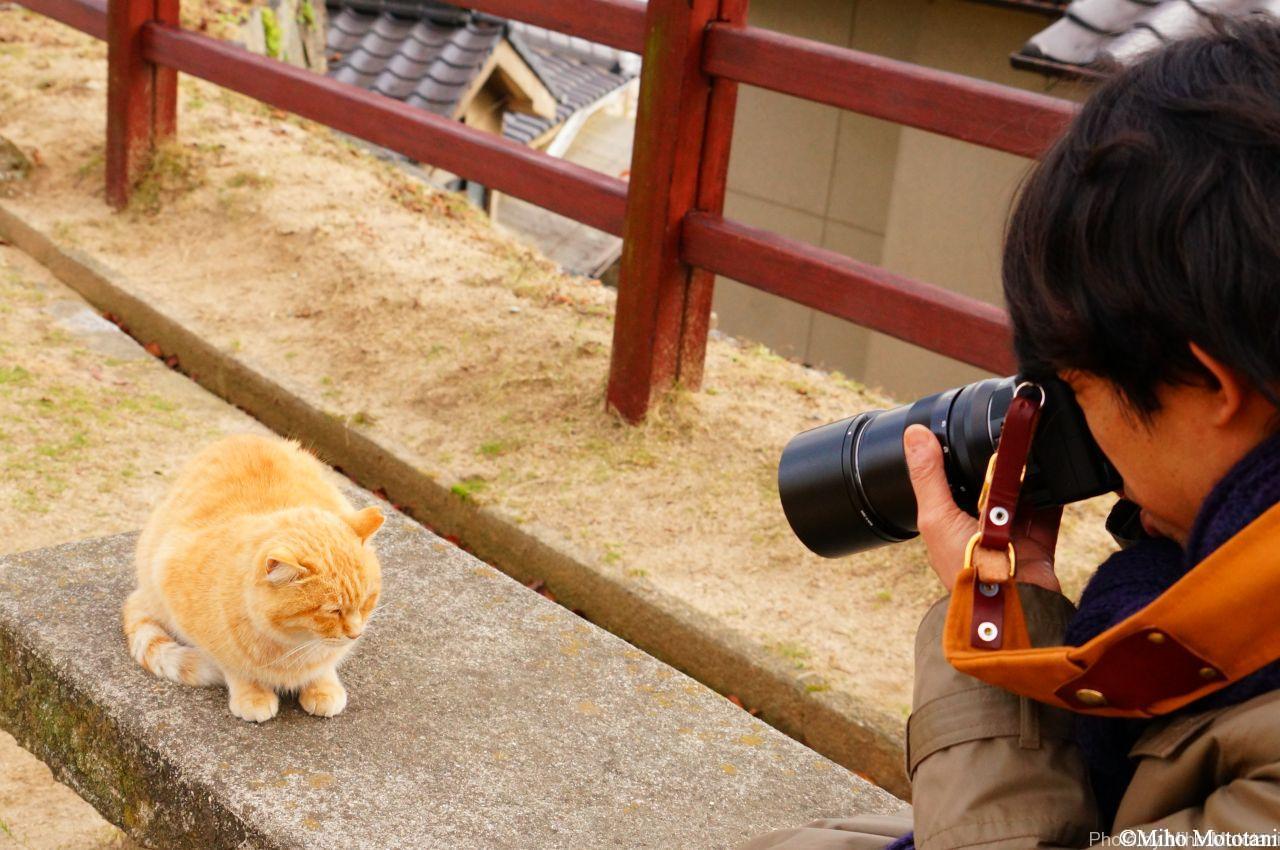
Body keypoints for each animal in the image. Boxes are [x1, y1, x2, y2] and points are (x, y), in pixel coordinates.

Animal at [124, 435, 384, 721]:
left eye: (367, 601)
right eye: (332, 611)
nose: (356, 634)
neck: (292, 644)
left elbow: (325, 664)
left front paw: (322, 686)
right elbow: (232, 665)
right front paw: (252, 693)